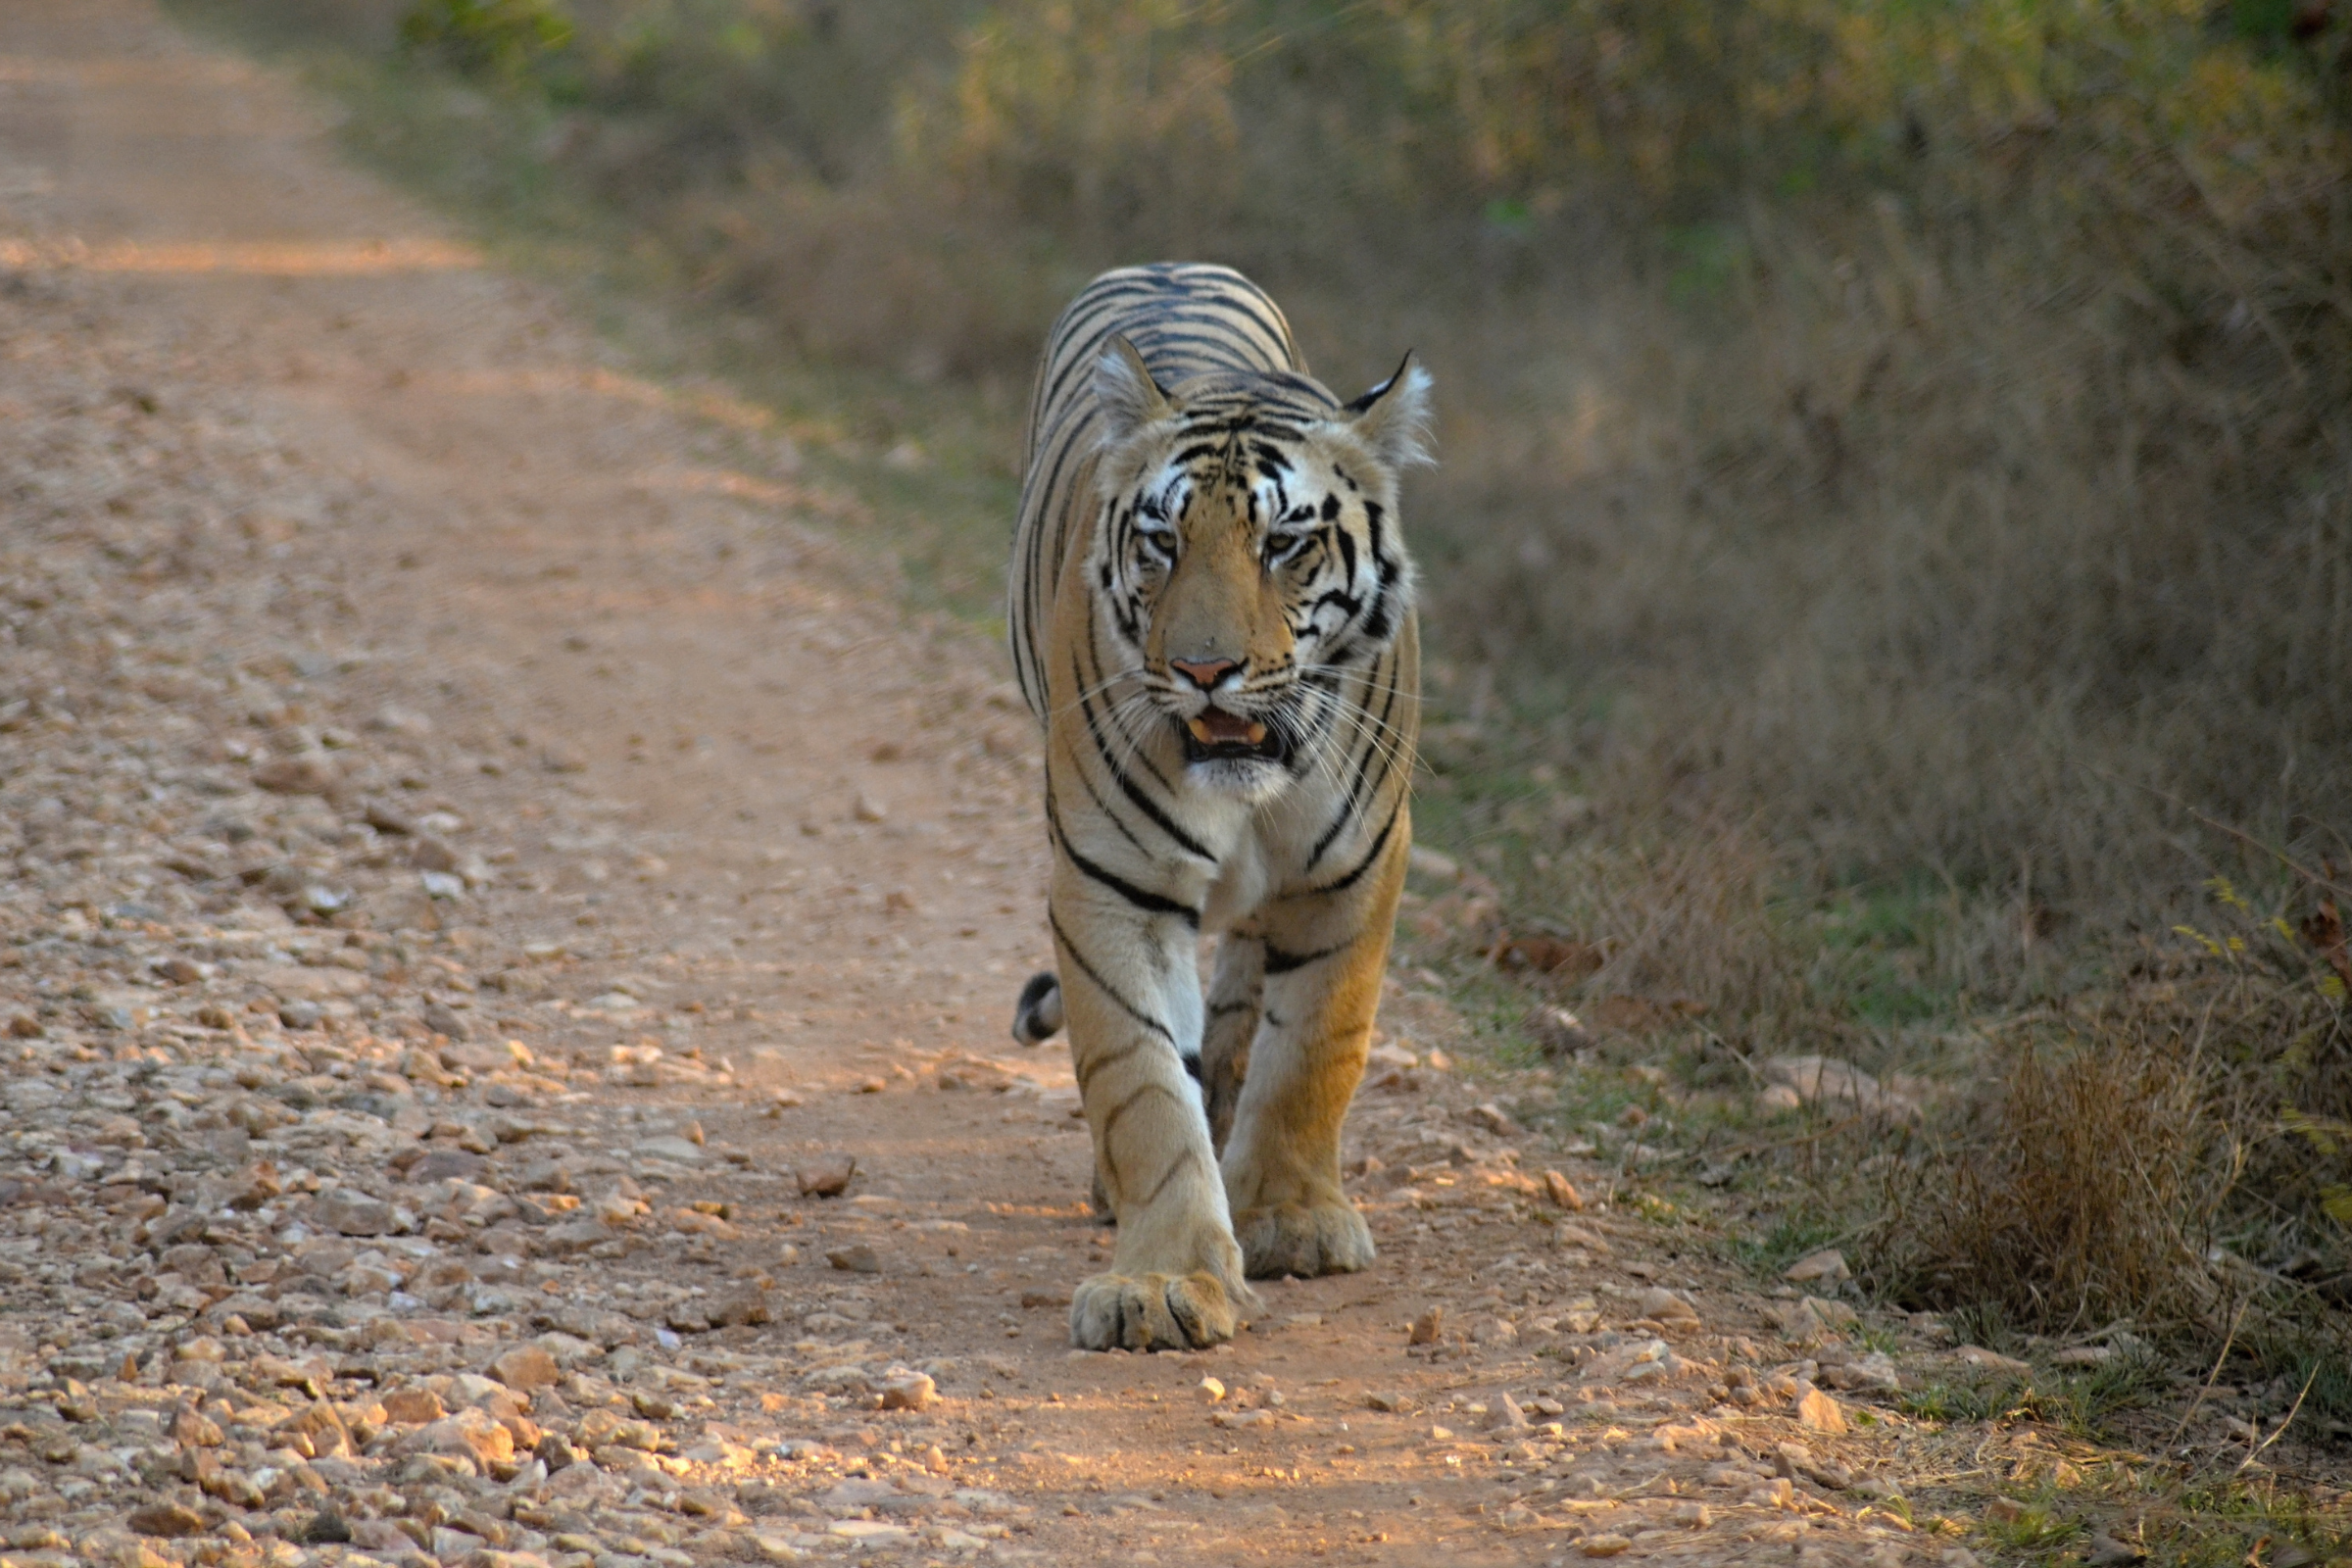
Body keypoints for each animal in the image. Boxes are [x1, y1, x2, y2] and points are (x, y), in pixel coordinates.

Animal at [1002, 263, 1420, 1353]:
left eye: (1284, 544)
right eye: (1161, 541)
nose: (1203, 670)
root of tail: (1169, 263)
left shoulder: (1355, 872)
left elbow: (1315, 1049)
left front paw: (1291, 1218)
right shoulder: (1111, 885)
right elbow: (1143, 1084)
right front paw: (1162, 1280)